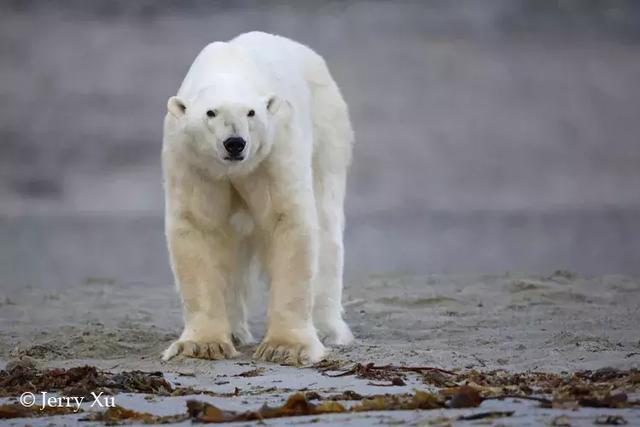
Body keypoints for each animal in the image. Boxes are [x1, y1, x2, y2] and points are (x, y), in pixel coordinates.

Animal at [161, 31, 356, 364]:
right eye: (211, 112)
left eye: (251, 113)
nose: (235, 143)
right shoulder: (192, 160)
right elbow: (199, 225)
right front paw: (203, 345)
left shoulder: (274, 149)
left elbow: (286, 219)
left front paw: (285, 347)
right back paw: (236, 331)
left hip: (328, 129)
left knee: (327, 228)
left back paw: (329, 329)